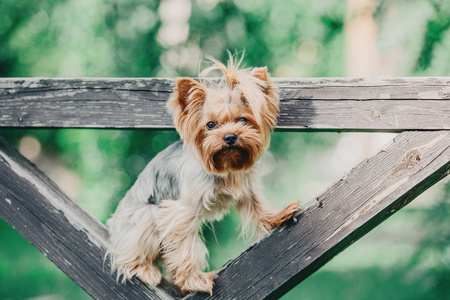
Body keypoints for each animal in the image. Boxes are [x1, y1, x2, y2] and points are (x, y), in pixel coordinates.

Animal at [106, 54, 298, 296]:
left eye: (243, 120)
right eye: (210, 125)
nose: (230, 137)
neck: (226, 166)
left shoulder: (246, 188)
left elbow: (257, 206)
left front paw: (277, 216)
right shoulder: (182, 211)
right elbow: (184, 247)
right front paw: (194, 281)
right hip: (144, 217)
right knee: (126, 256)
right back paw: (146, 269)